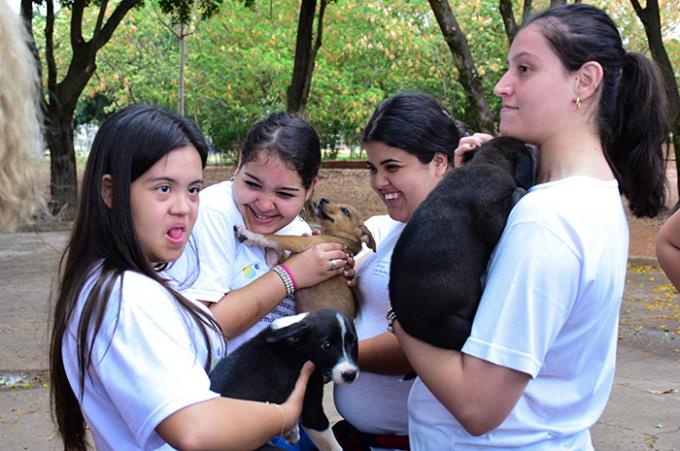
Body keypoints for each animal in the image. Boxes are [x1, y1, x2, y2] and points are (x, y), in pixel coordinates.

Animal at [235, 198, 378, 318]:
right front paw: (272, 253)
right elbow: (278, 254)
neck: (342, 239)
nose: (323, 199)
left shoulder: (303, 243)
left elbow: (274, 237)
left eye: (345, 211)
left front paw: (249, 235)